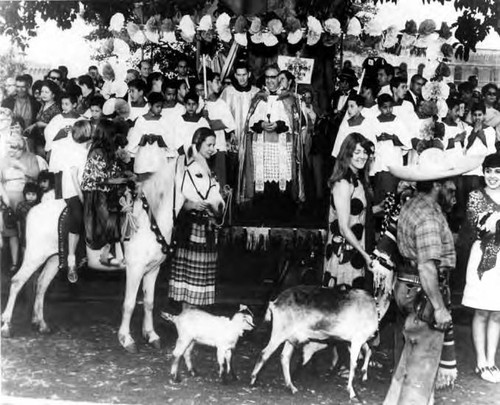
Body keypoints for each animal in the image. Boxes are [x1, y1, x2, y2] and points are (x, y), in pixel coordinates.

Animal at [0, 141, 225, 350]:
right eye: (198, 175)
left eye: (211, 174)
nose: (221, 205)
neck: (148, 218)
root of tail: (33, 209)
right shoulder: (135, 270)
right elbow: (129, 304)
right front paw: (126, 338)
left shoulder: (152, 270)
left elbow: (149, 303)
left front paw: (151, 335)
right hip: (34, 256)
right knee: (17, 282)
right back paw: (6, 326)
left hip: (54, 259)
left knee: (41, 285)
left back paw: (41, 323)